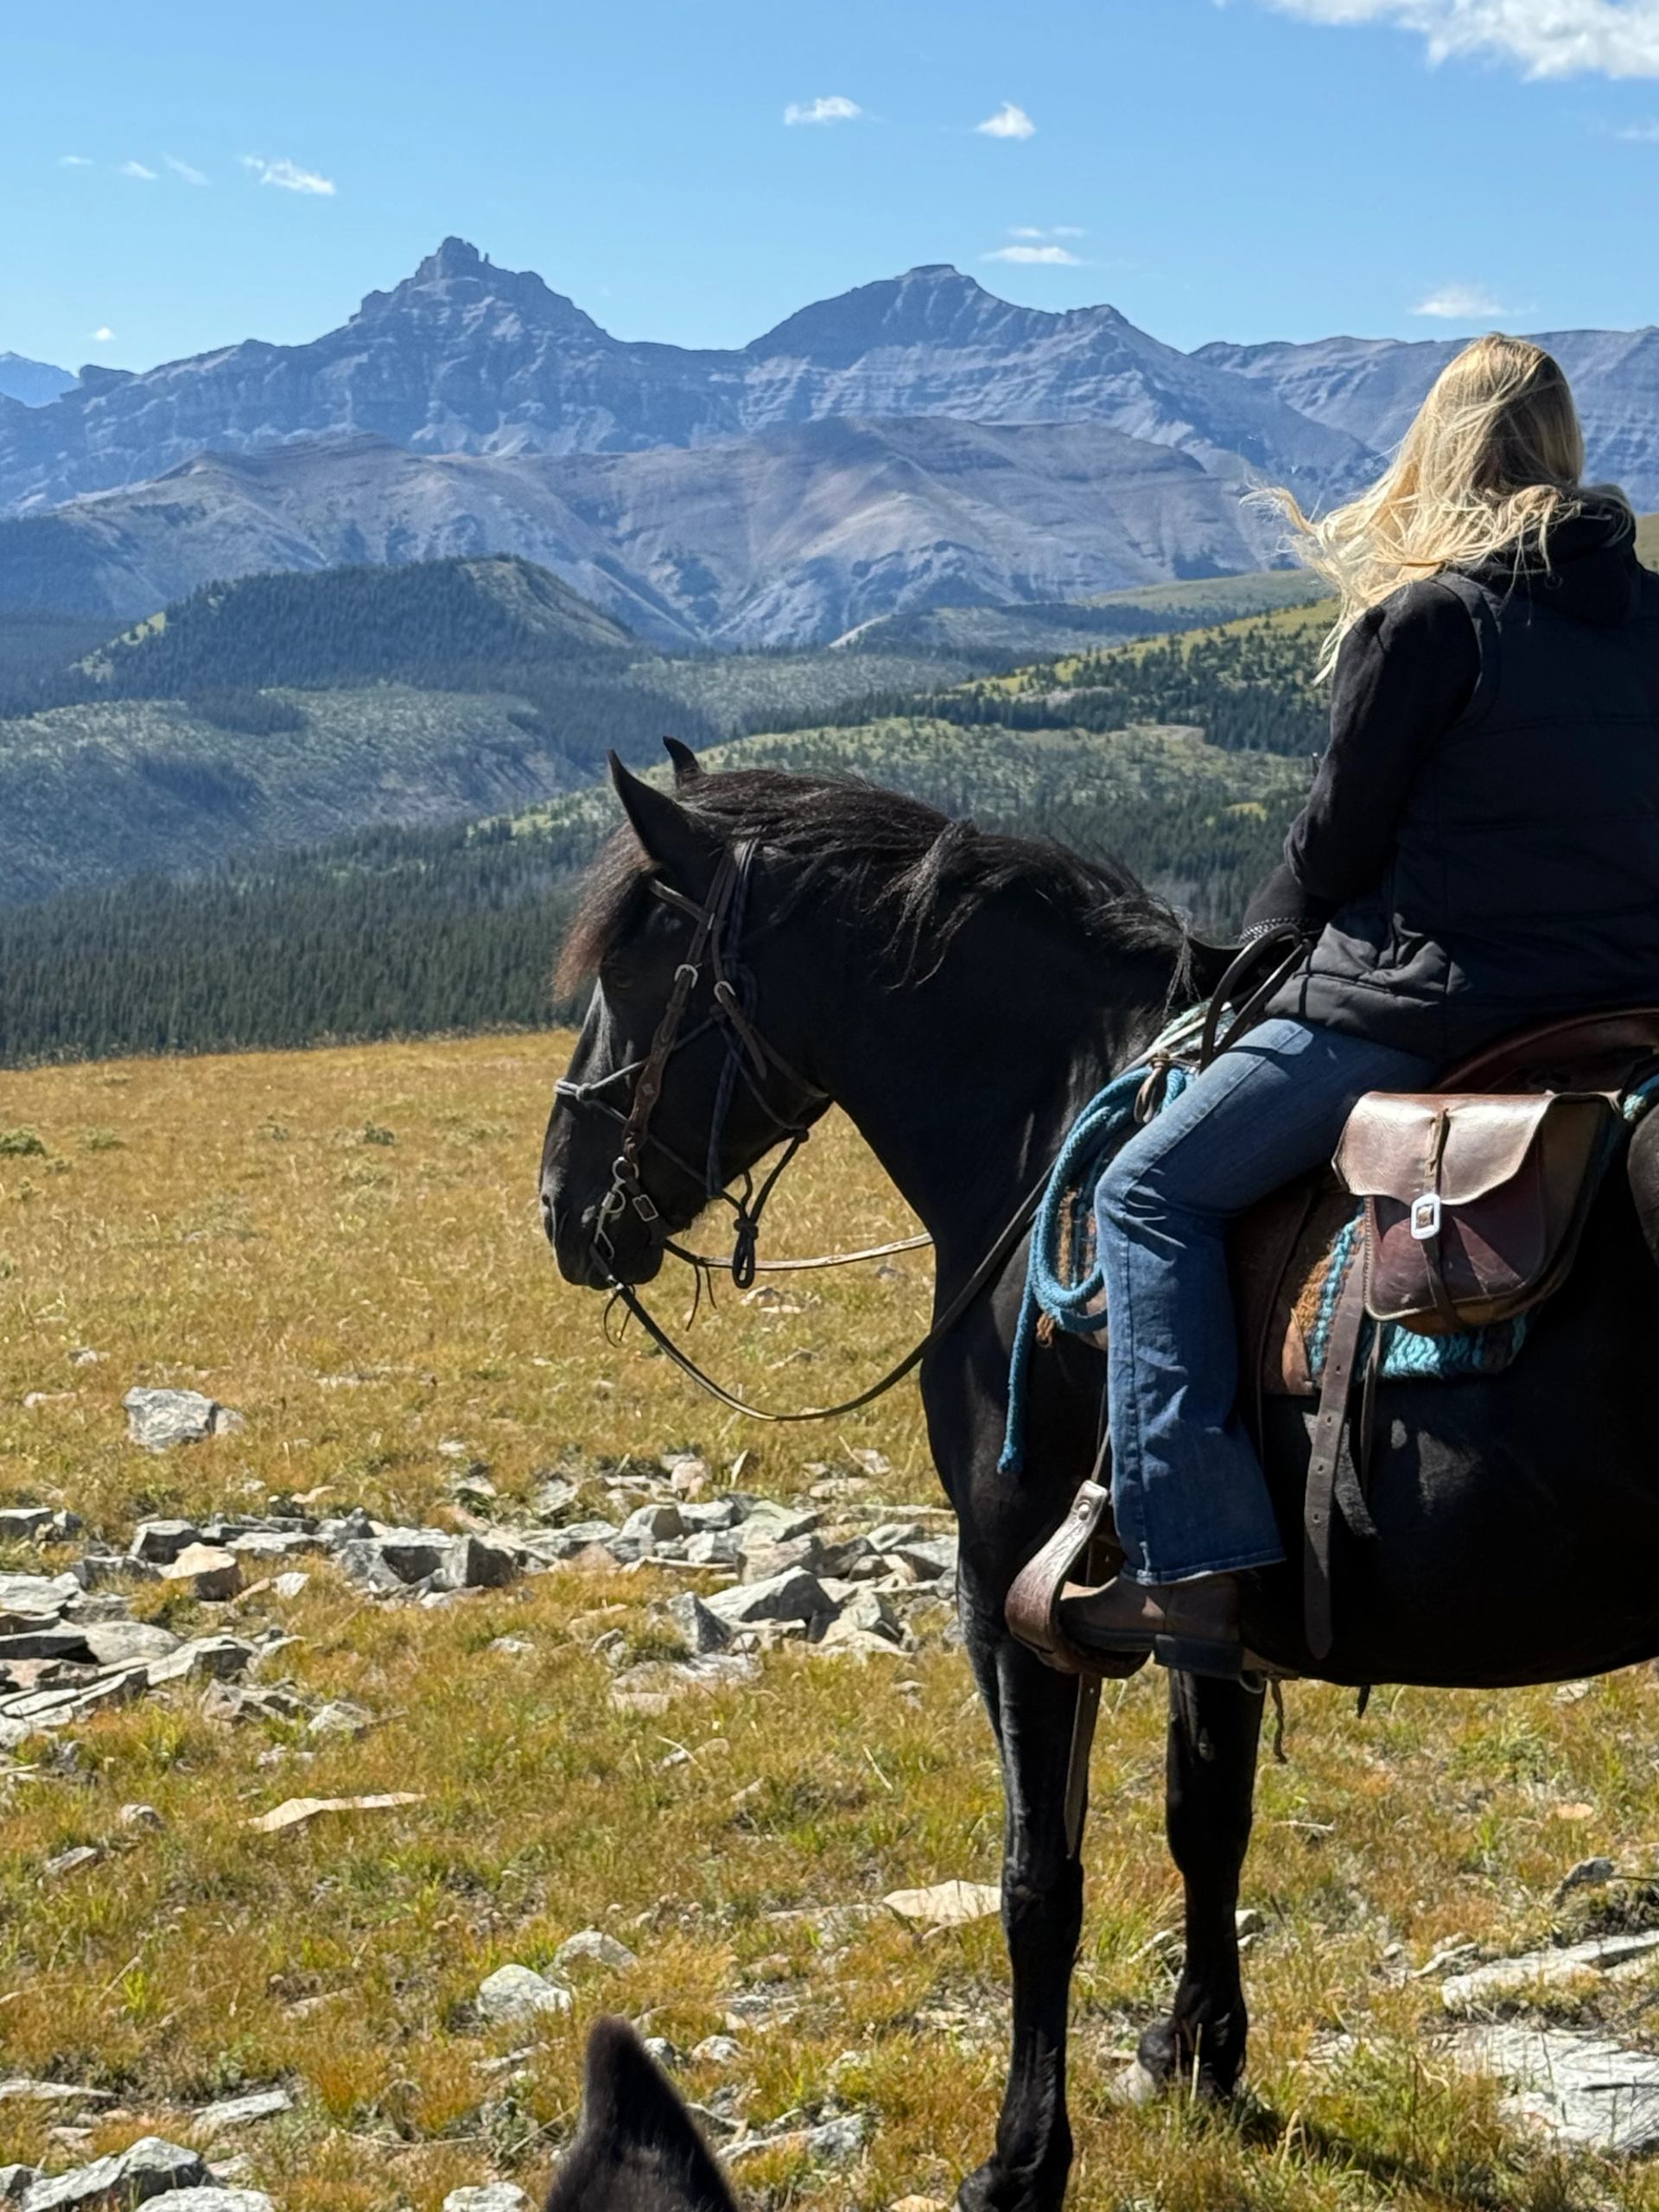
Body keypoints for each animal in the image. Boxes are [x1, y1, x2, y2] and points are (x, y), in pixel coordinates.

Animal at [539, 746, 1659, 2212]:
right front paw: (1199, 2057)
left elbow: (1042, 1877)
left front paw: (1022, 2161)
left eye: (635, 968)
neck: (1044, 1125)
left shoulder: (1012, 1582)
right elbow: (1207, 1816)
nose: (562, 1208)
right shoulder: (1207, 1594)